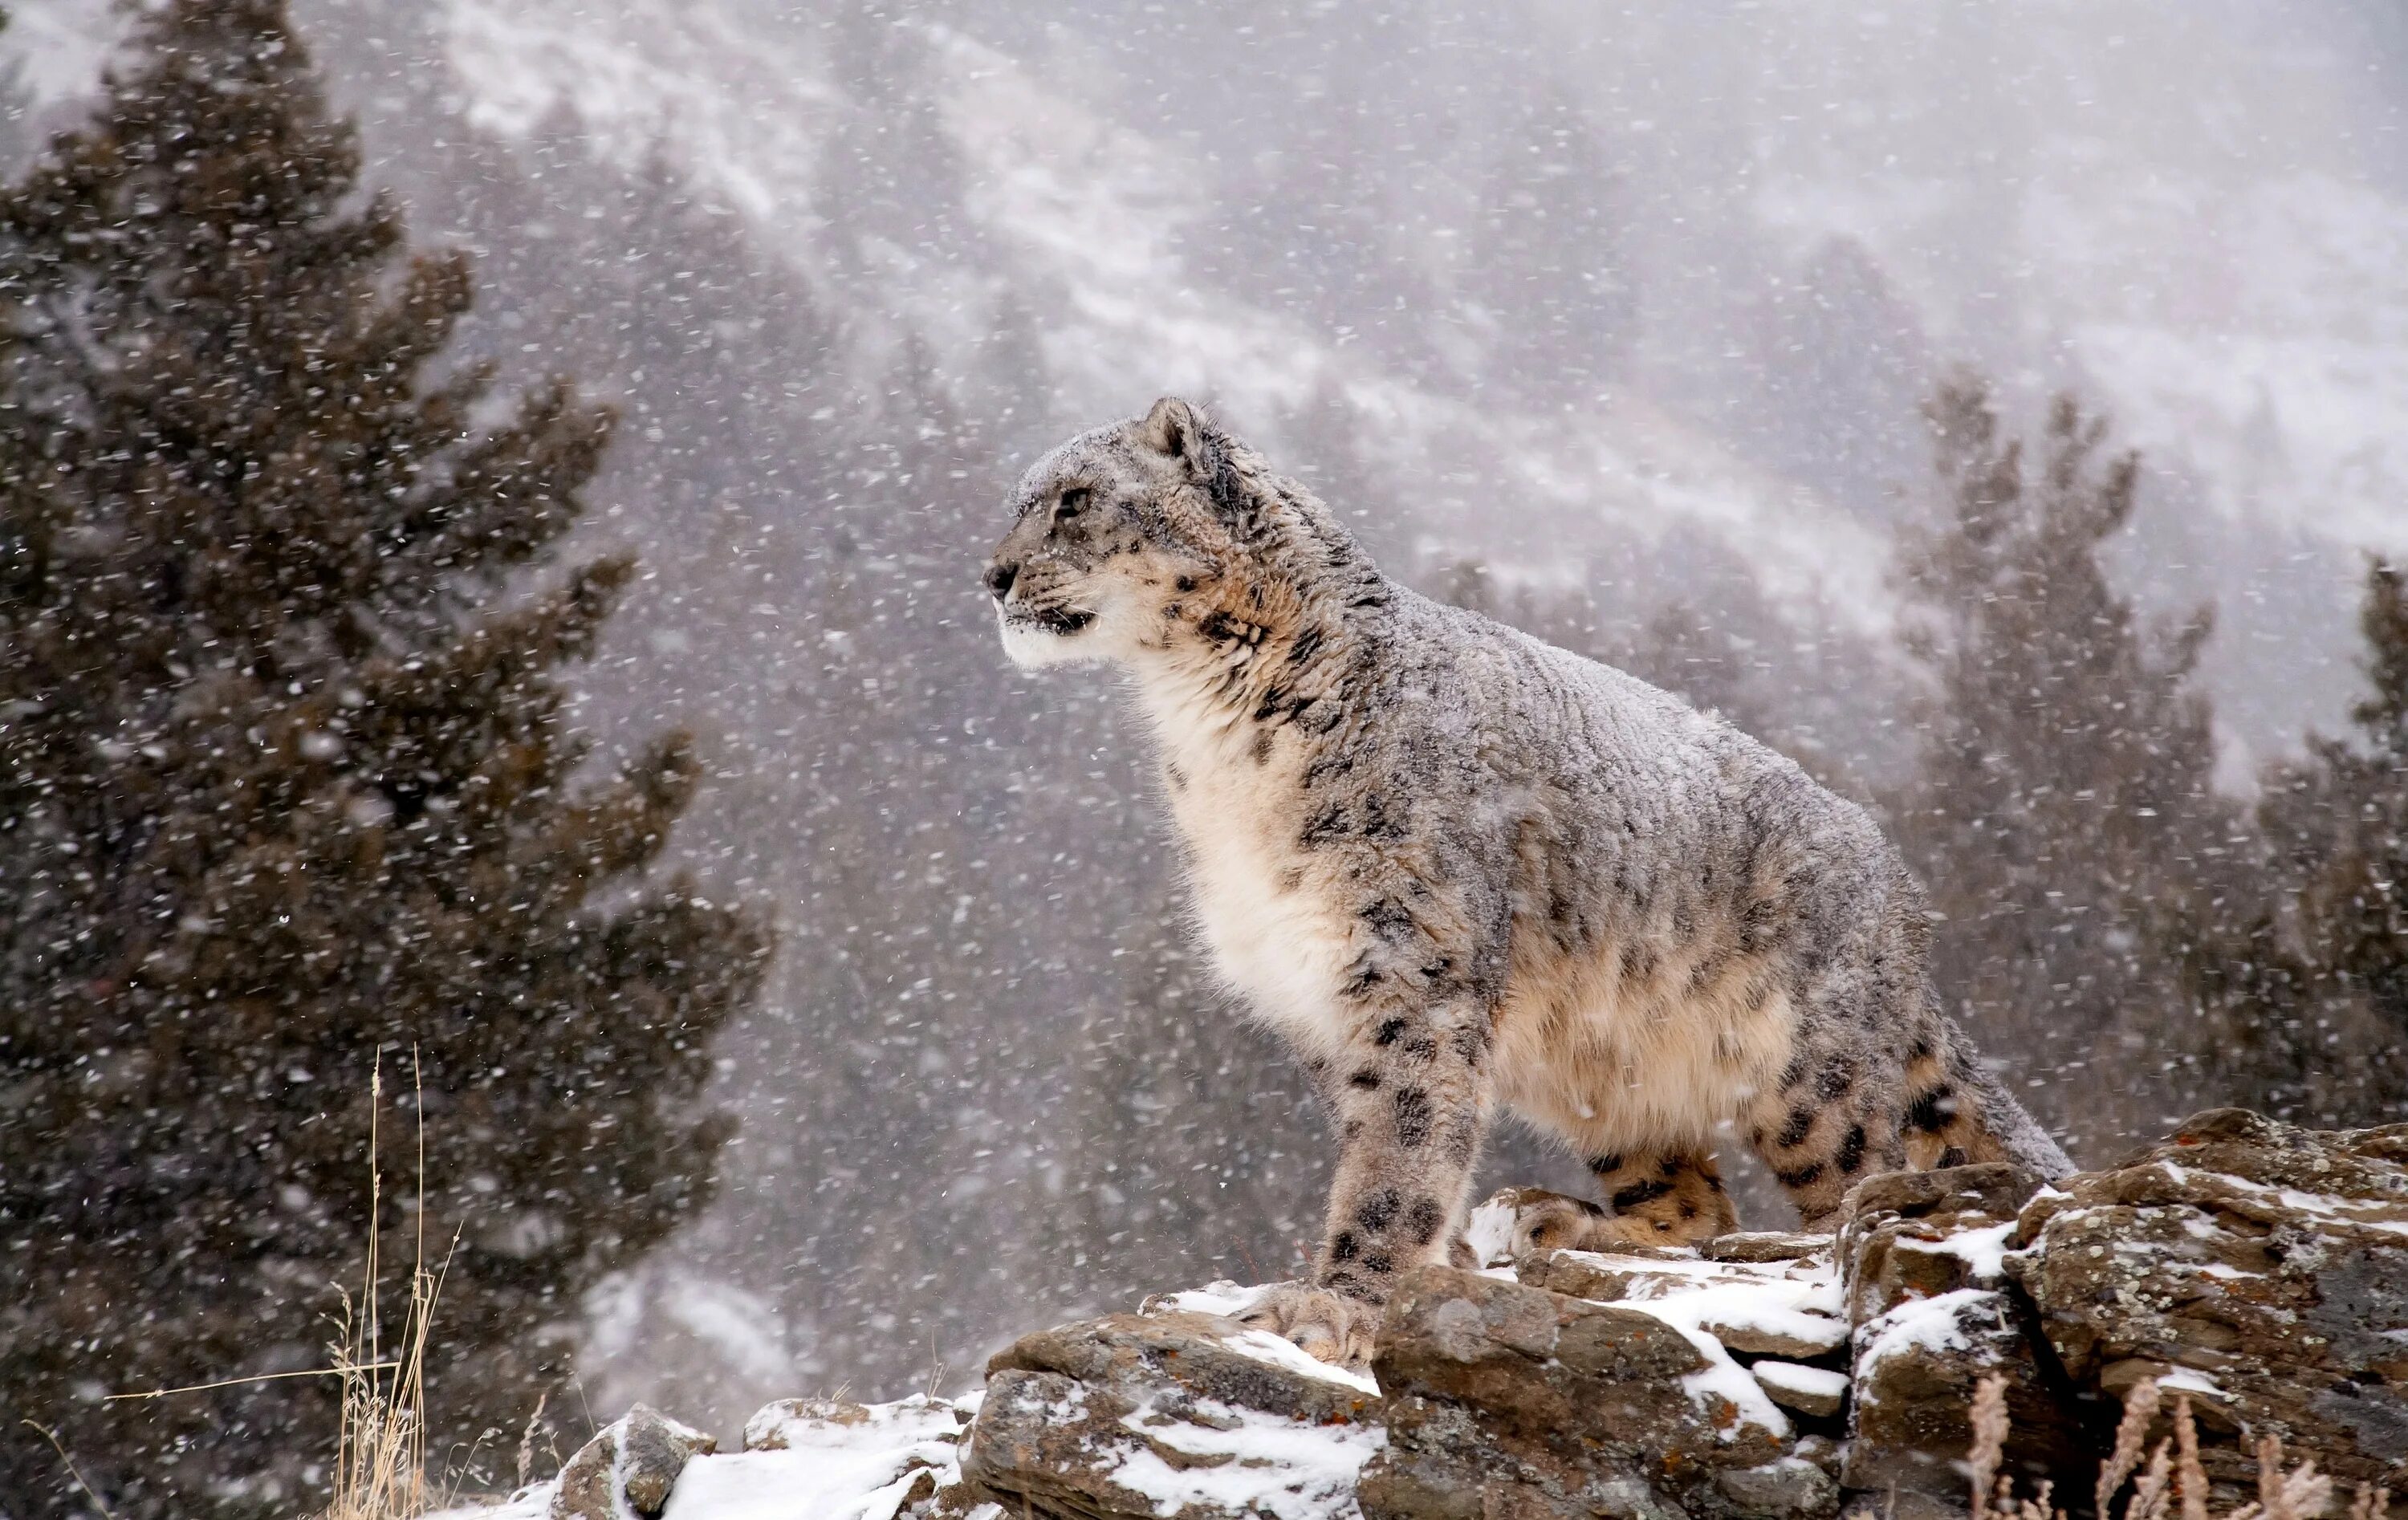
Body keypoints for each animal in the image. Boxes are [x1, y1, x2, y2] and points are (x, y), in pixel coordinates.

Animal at [987, 395, 2081, 1368]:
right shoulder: (1312, 984)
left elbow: (1398, 1144)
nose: (991, 574)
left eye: (1076, 499)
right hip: (1609, 1073)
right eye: (1023, 496)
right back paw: (1554, 1220)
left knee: (1852, 1192)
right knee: (1694, 1201)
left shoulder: (1411, 960)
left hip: (1814, 1076)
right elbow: (1380, 1129)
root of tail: (1898, 889)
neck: (1211, 736)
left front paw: (1337, 1302)